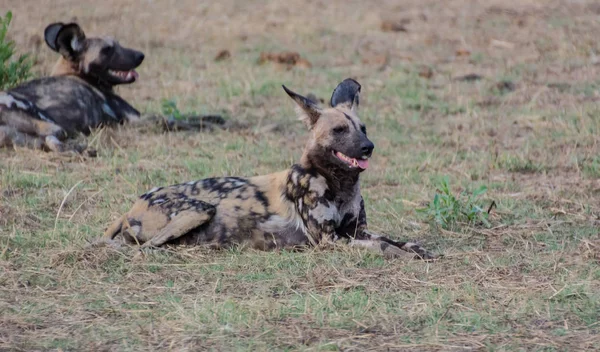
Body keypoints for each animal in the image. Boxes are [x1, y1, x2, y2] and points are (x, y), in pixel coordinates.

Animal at [0, 21, 223, 154]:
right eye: (107, 50)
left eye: (118, 44)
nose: (140, 55)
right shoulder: (133, 120)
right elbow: (177, 121)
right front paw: (217, 127)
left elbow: (192, 117)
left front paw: (217, 119)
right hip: (52, 124)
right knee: (53, 141)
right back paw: (83, 149)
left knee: (46, 143)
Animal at [103, 80, 436, 262]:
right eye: (340, 130)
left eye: (362, 128)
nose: (368, 147)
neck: (340, 185)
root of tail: (131, 206)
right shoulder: (329, 240)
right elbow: (382, 245)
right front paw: (402, 255)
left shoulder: (356, 231)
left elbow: (396, 239)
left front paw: (418, 249)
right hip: (199, 209)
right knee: (143, 247)